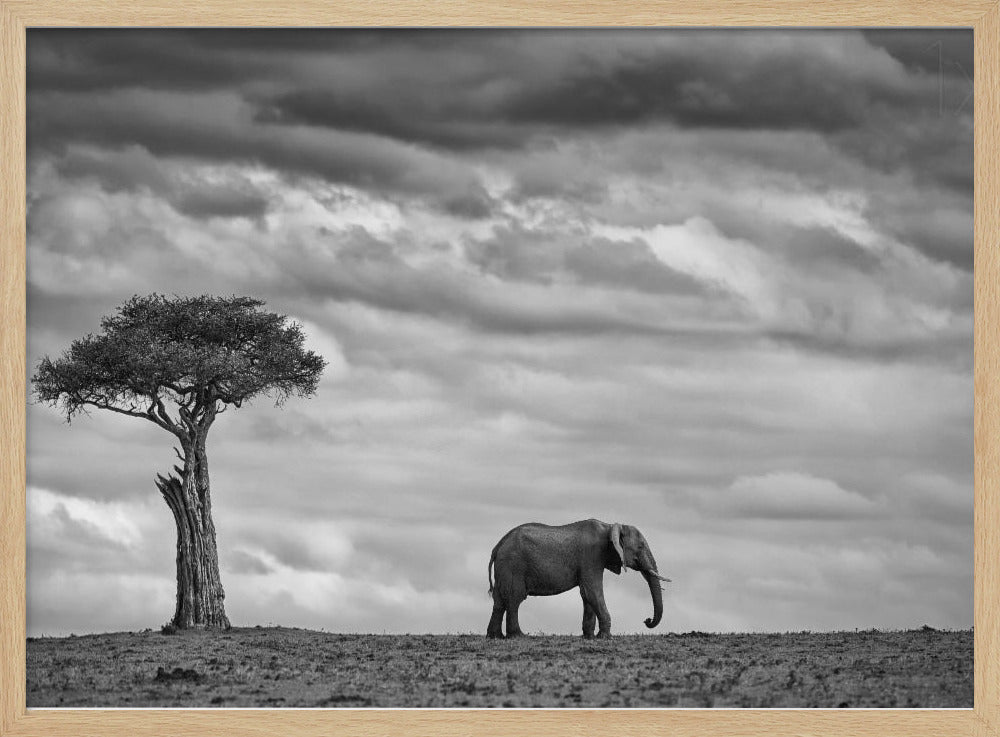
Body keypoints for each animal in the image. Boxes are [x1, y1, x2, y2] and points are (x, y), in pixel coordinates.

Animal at [486, 519, 670, 639]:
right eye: (640, 546)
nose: (646, 620)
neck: (609, 526)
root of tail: (497, 546)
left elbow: (587, 595)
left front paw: (589, 637)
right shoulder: (591, 556)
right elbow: (592, 591)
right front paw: (605, 637)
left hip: (504, 567)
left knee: (499, 601)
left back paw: (495, 636)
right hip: (513, 565)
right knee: (514, 599)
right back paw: (519, 636)